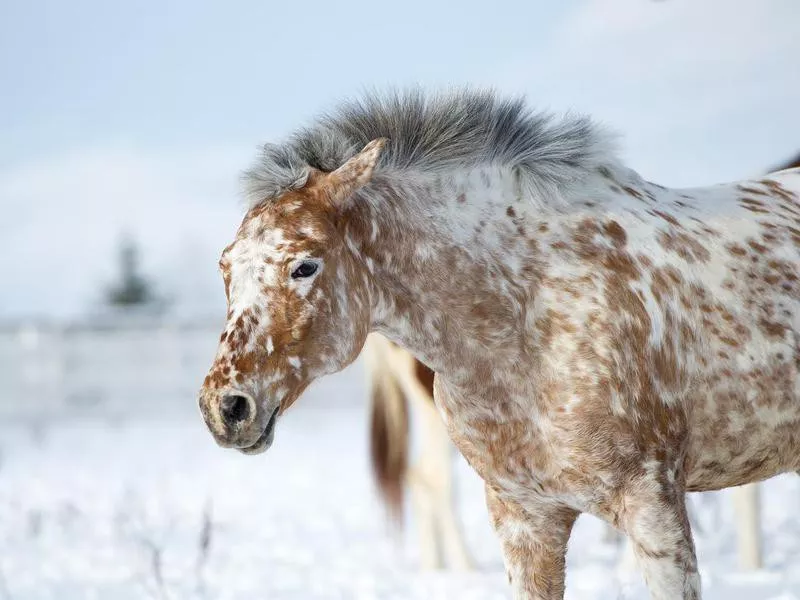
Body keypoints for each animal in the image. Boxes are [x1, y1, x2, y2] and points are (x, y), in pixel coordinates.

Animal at [198, 89, 800, 600]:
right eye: (225, 267)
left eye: (304, 265)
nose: (225, 408)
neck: (527, 324)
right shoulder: (525, 518)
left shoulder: (655, 506)